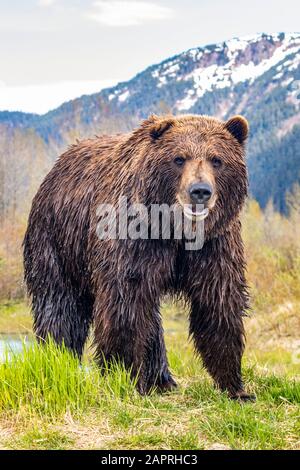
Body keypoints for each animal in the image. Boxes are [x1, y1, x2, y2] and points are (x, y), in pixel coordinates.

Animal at [23, 114, 255, 400]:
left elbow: (218, 301)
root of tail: (57, 166)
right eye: (179, 158)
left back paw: (161, 380)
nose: (200, 191)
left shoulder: (214, 245)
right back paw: (58, 359)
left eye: (216, 159)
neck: (174, 231)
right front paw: (124, 376)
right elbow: (126, 303)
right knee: (59, 304)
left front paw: (235, 386)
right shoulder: (133, 239)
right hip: (57, 241)